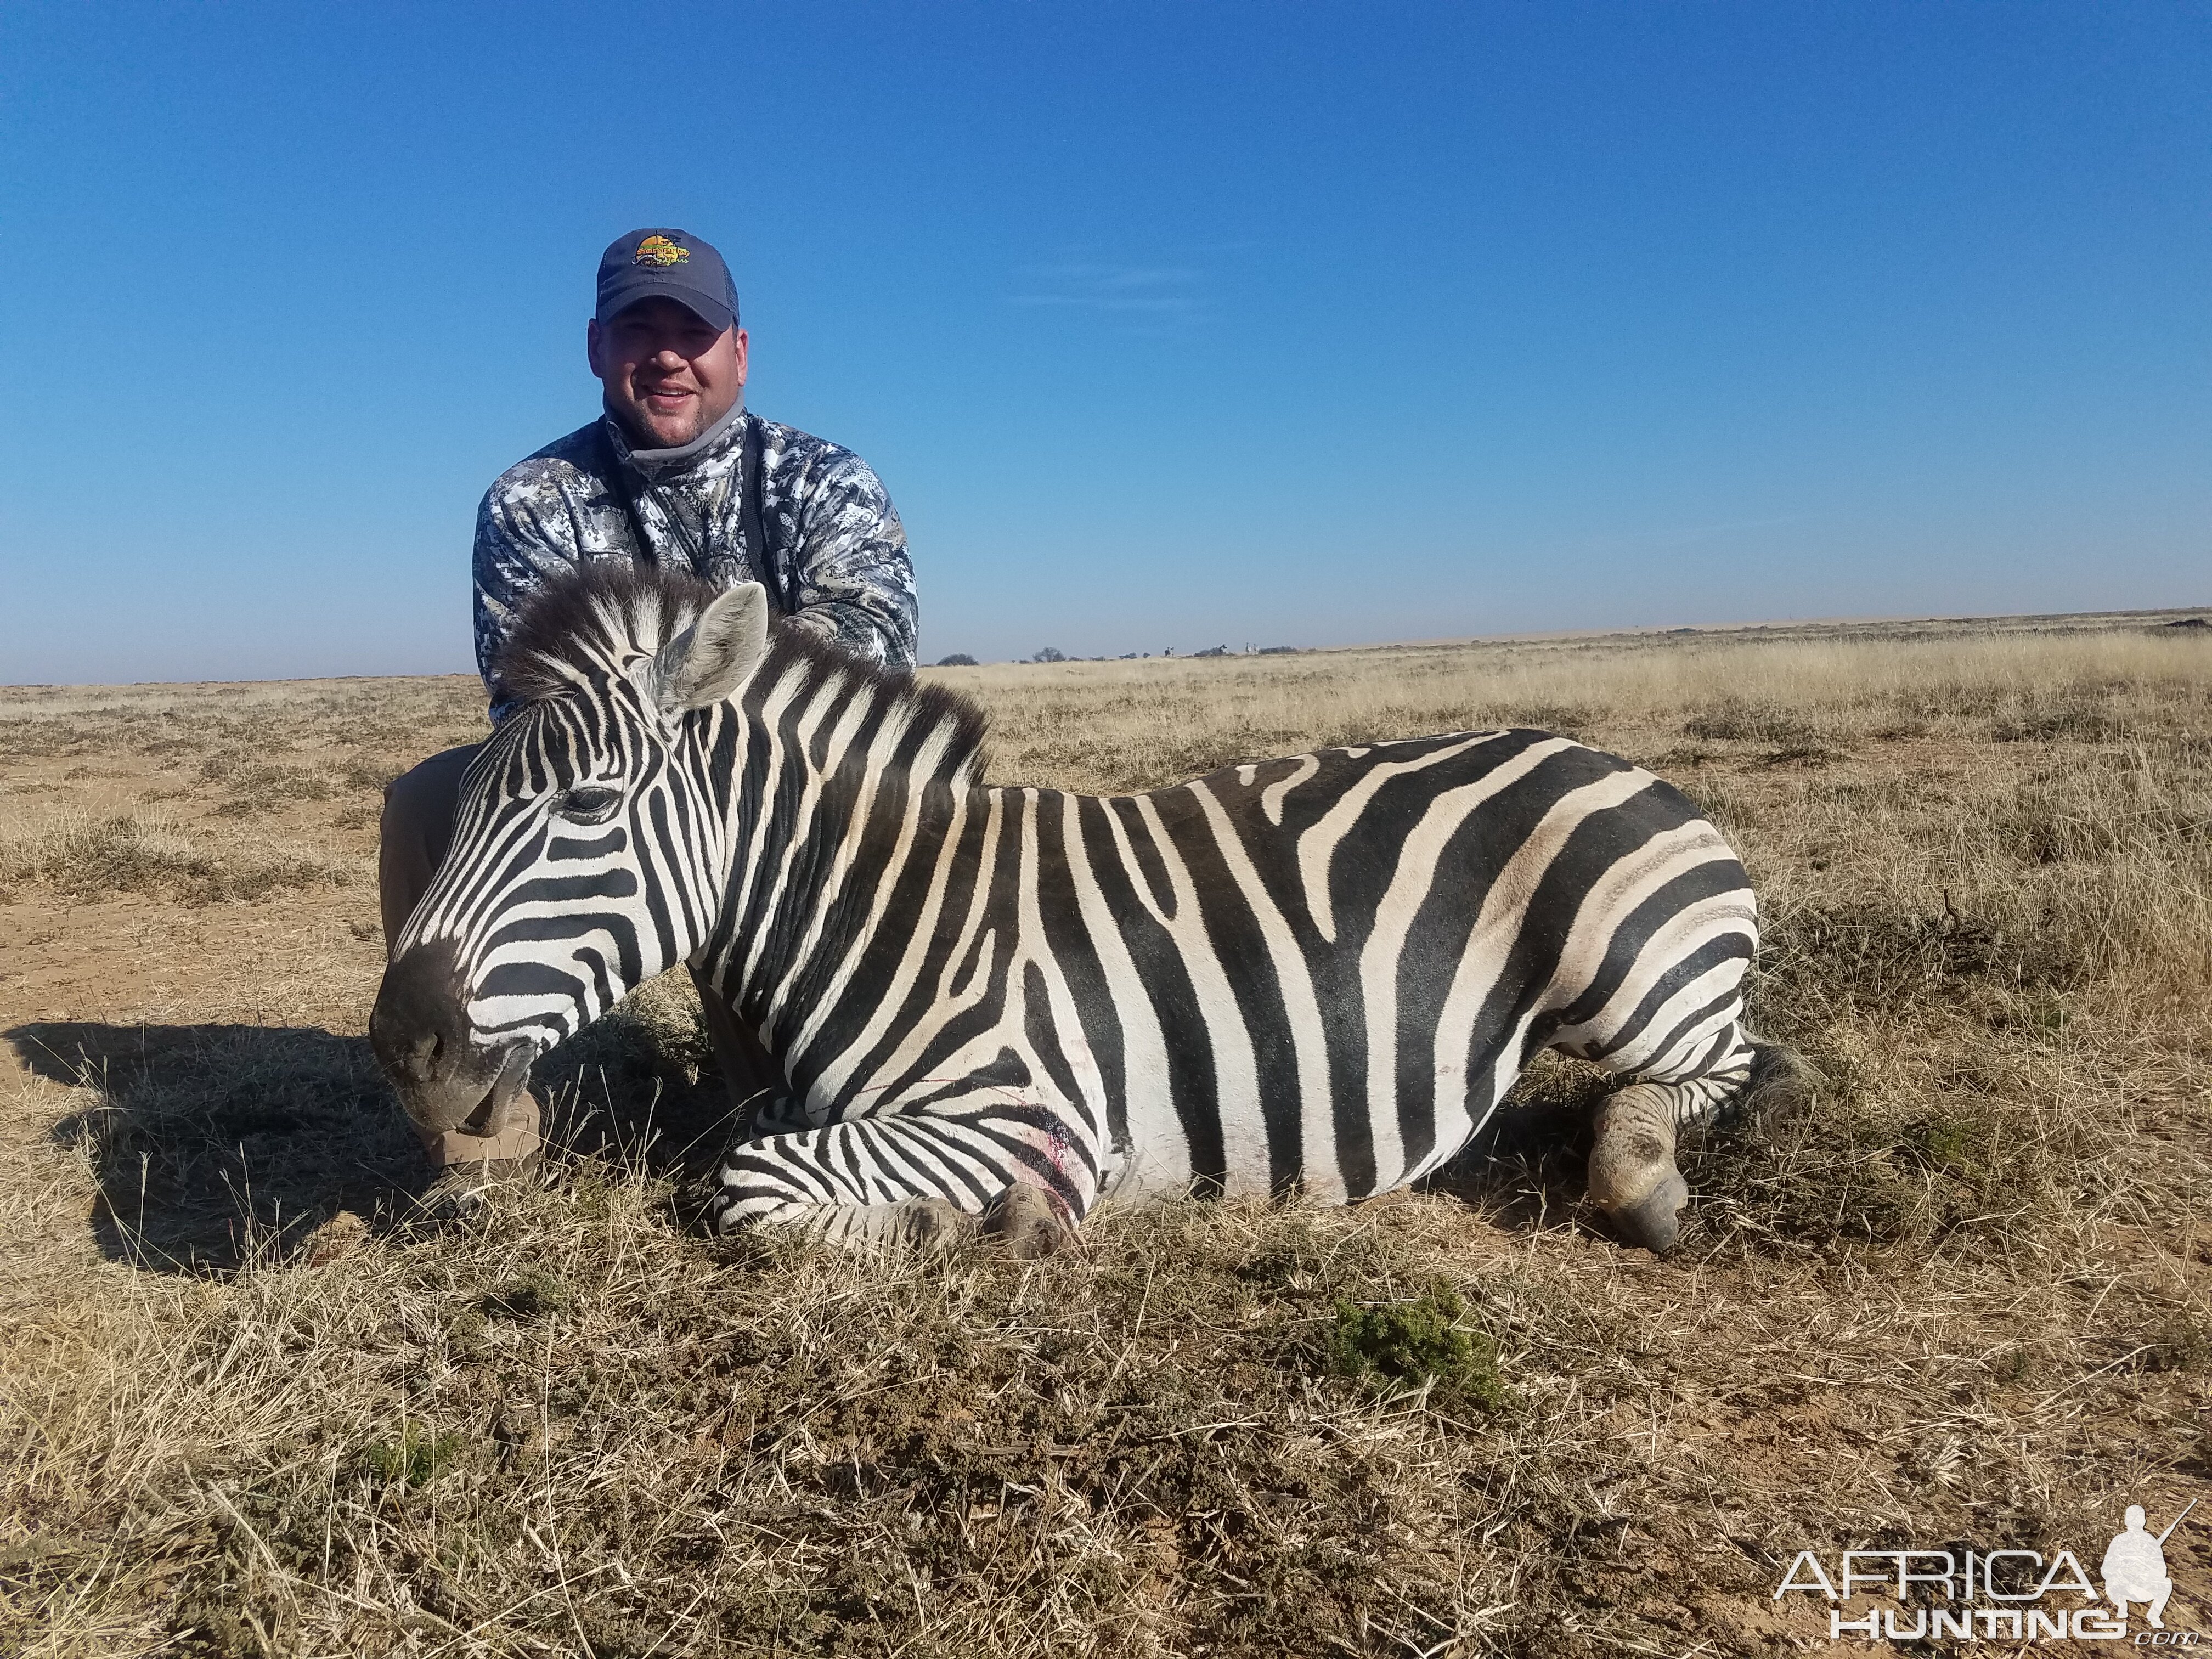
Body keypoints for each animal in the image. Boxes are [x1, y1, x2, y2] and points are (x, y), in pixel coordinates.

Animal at [376, 566, 1778, 1256]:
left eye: (587, 810)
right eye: (469, 807)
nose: (403, 1044)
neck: (883, 907)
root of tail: (1616, 761)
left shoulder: (1023, 1109)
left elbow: (743, 1182)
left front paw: (977, 1223)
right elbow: (751, 1146)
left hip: (1627, 978)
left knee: (1739, 1066)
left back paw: (1638, 1174)